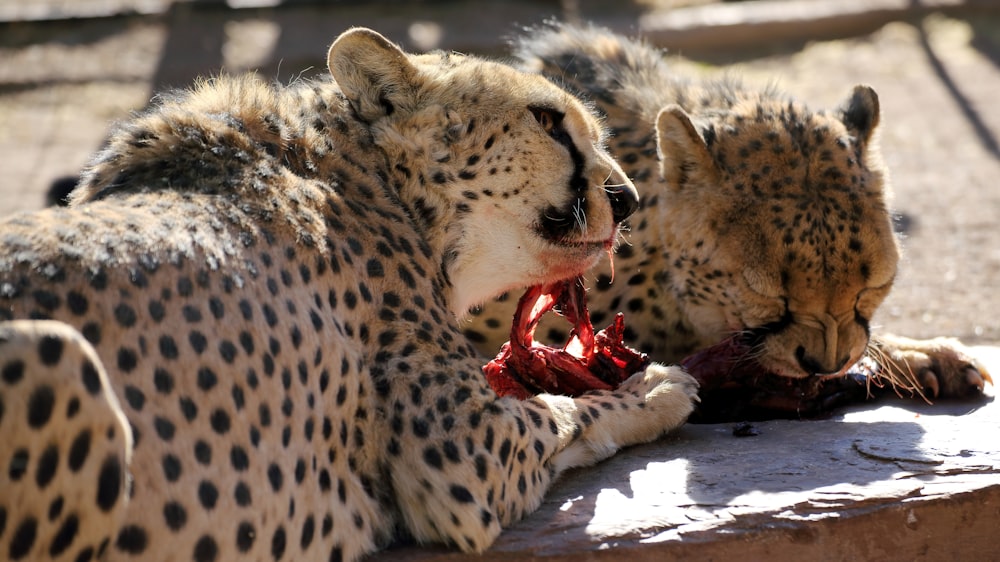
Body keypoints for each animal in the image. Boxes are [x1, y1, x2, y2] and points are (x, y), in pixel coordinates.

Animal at [0, 27, 700, 560]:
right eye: (548, 121)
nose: (627, 198)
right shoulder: (463, 459)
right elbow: (565, 411)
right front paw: (653, 390)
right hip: (62, 357)